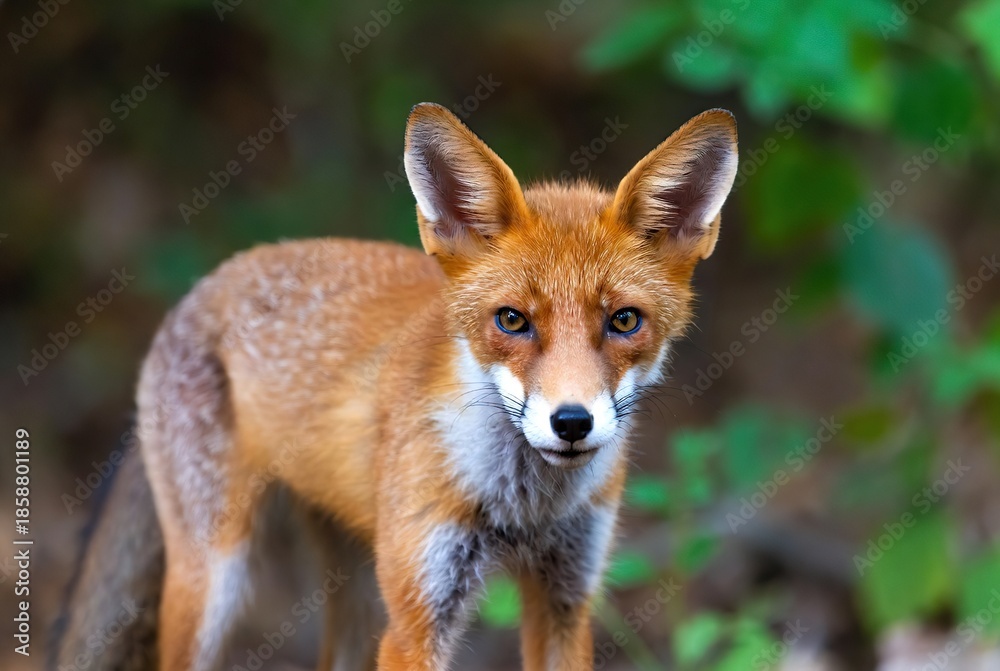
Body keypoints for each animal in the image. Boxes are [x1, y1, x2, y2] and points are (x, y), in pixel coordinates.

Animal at [55, 103, 738, 671]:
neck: (522, 510)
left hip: (359, 585)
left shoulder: (567, 598)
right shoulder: (417, 622)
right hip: (216, 581)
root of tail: (204, 284)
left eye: (623, 321)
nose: (571, 422)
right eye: (511, 320)